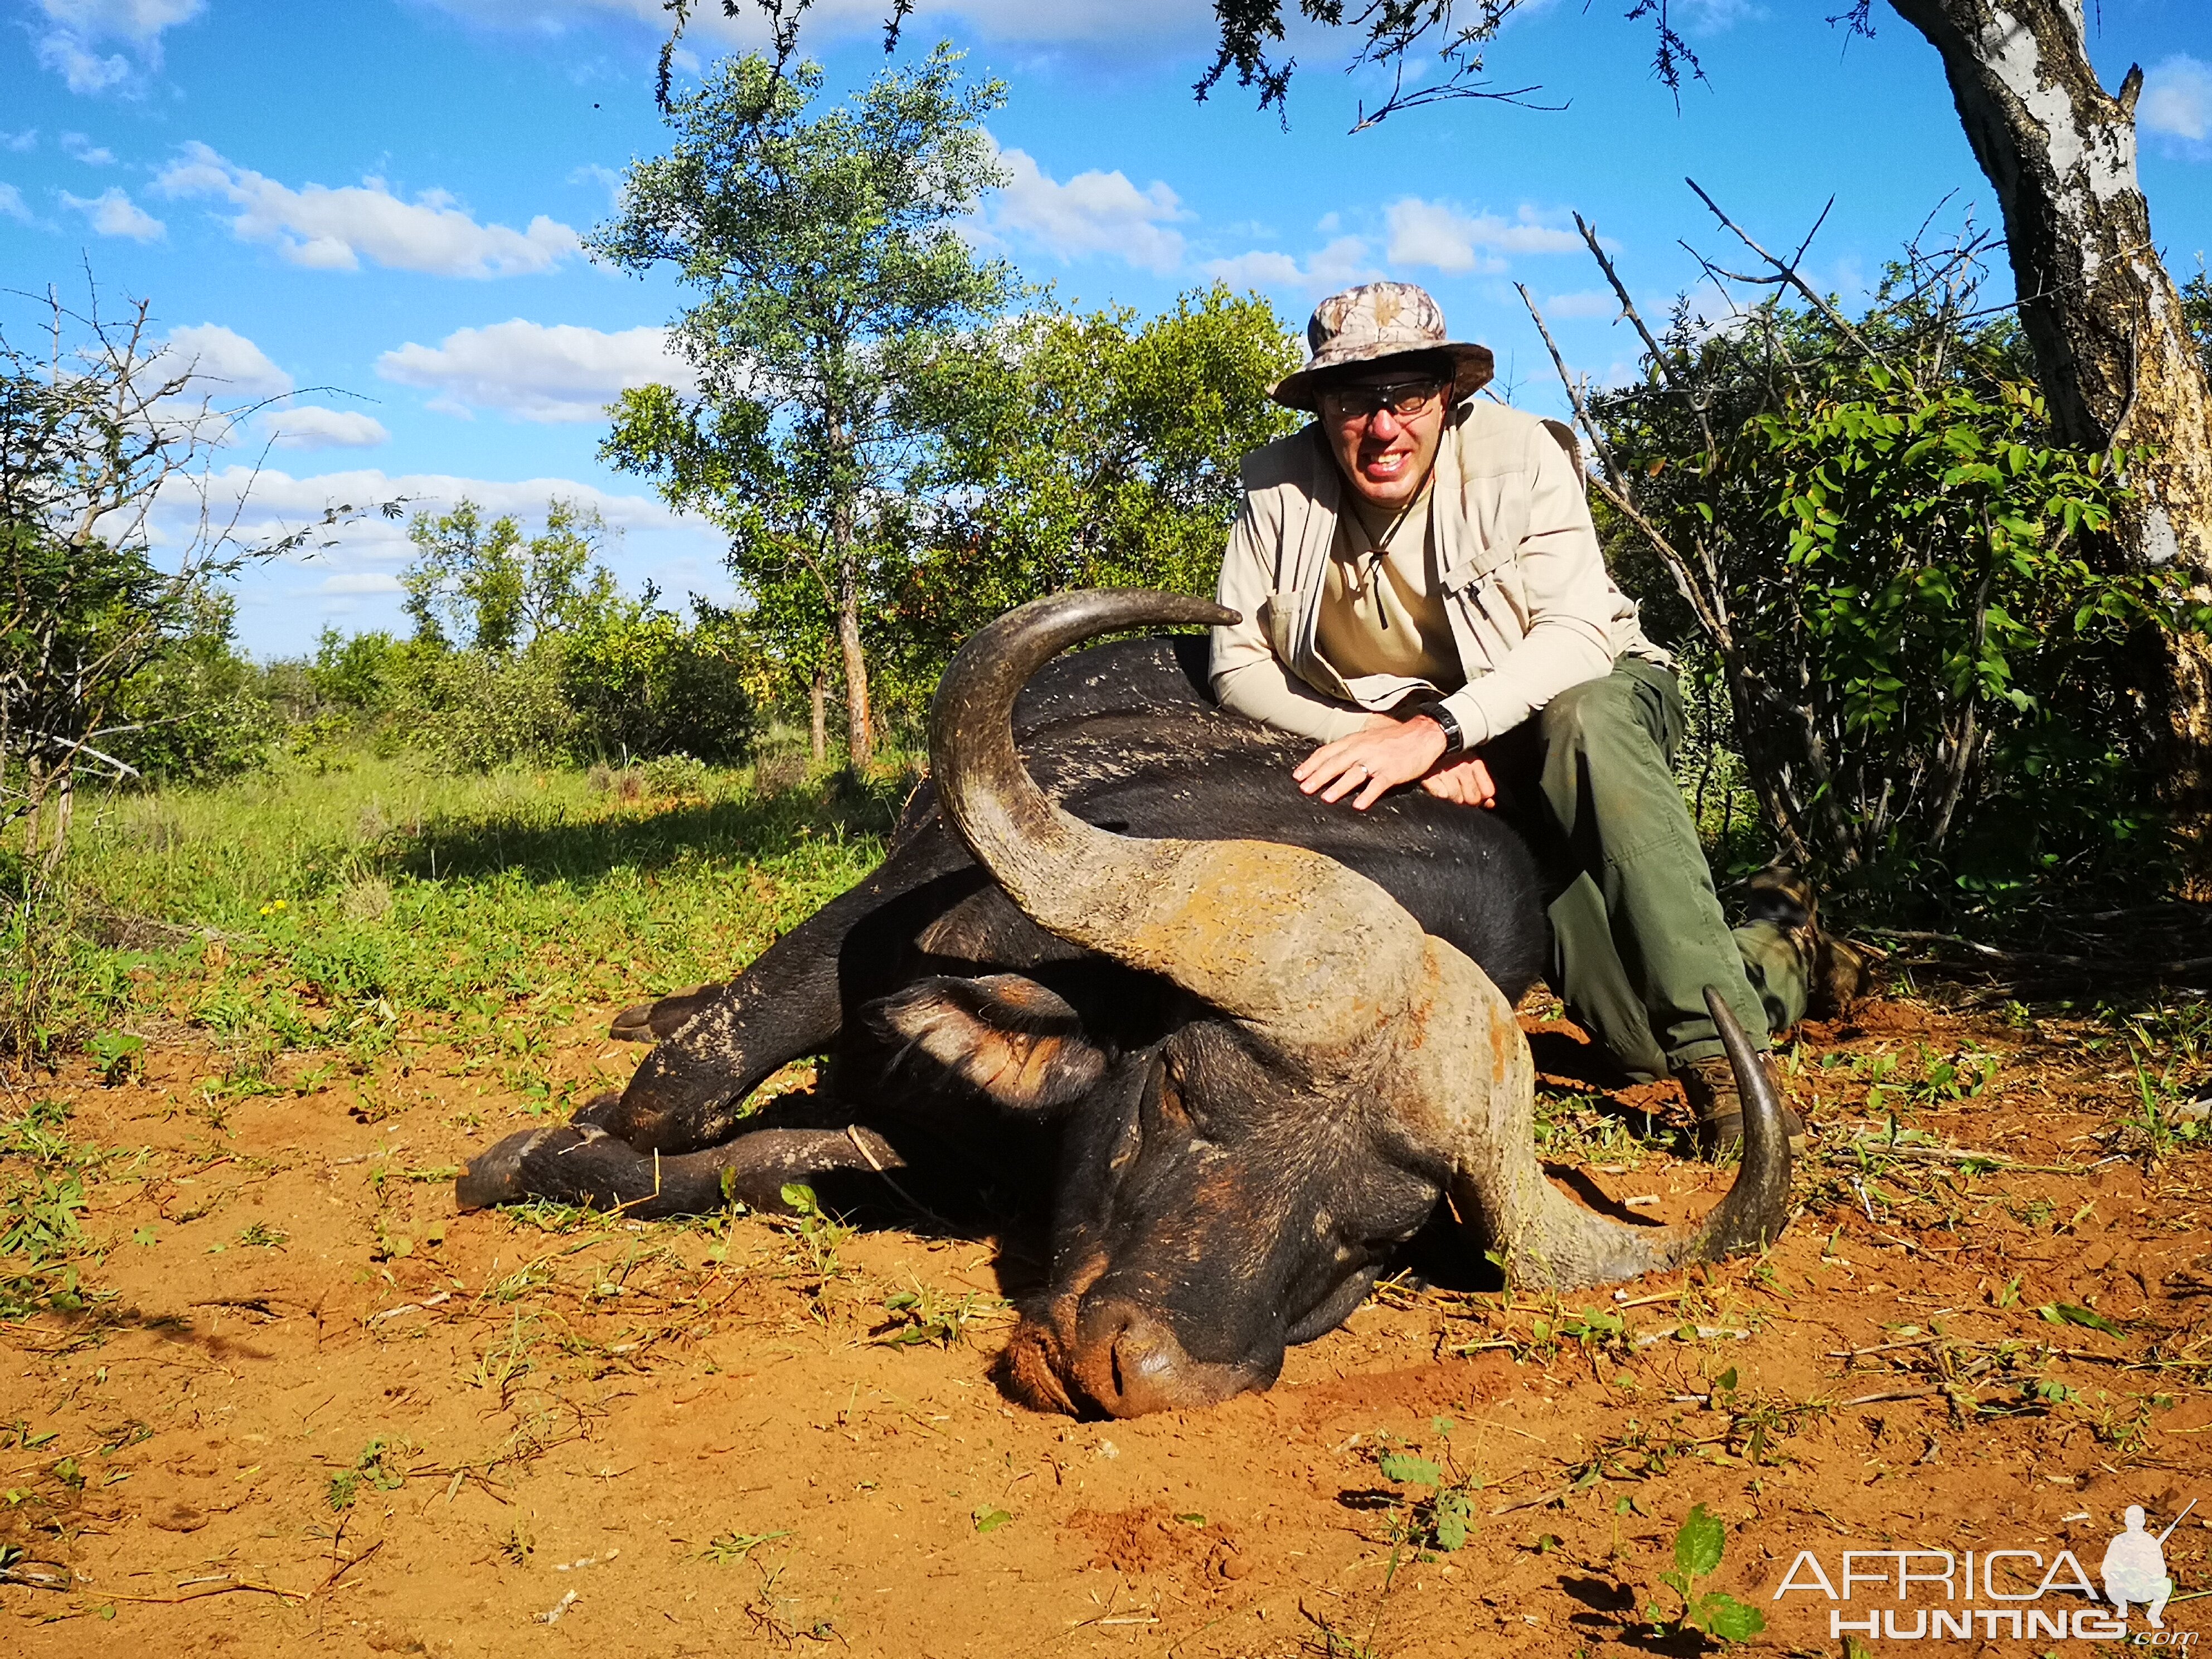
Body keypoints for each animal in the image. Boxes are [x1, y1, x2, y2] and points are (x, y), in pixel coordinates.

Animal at [458, 584, 1787, 1415]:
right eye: (1181, 1091)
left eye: (1378, 1239)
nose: (1135, 1371)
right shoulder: (874, 919)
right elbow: (676, 1099)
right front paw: (528, 1152)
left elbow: (768, 1163)